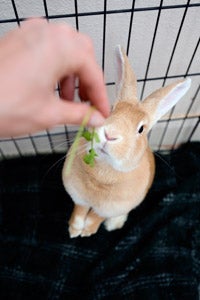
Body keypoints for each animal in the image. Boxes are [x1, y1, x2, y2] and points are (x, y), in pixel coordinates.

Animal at [62, 45, 191, 238]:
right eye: (111, 109)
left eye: (141, 129)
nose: (109, 135)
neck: (104, 171)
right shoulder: (79, 197)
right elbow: (79, 211)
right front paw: (74, 230)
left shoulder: (111, 208)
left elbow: (95, 217)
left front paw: (87, 232)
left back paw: (113, 225)